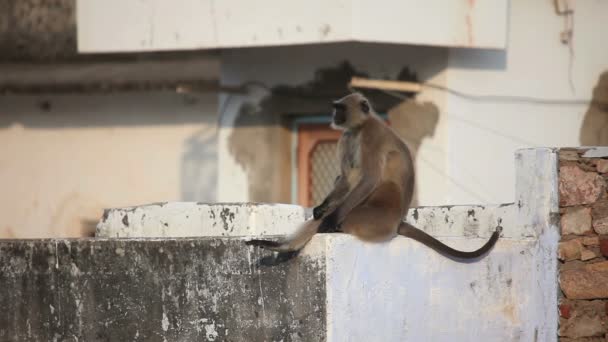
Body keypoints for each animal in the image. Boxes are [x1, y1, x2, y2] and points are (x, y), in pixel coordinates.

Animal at [245, 93, 502, 260]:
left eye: (340, 108)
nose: (334, 115)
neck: (359, 127)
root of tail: (398, 221)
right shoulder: (347, 136)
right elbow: (344, 178)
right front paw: (321, 208)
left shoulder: (371, 136)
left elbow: (368, 179)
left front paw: (330, 219)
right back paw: (281, 246)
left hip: (379, 216)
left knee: (371, 191)